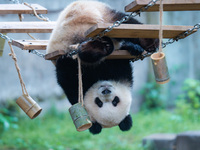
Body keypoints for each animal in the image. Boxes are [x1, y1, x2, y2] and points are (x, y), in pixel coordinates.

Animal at [46, 0, 158, 134]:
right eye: (99, 102)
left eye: (115, 101)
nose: (105, 90)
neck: (100, 77)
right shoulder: (78, 89)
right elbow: (67, 76)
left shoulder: (120, 73)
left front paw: (133, 48)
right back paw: (100, 47)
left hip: (99, 15)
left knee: (123, 23)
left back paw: (146, 43)